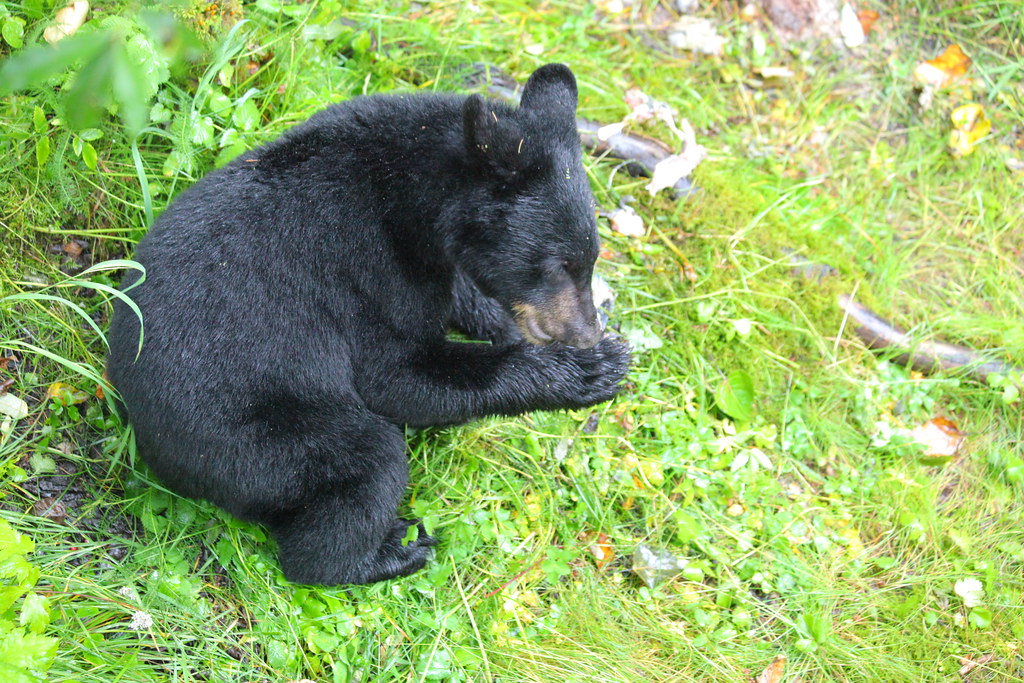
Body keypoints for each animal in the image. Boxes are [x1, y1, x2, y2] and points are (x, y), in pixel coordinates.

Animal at [106, 63, 631, 585]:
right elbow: (399, 377)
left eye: (591, 257)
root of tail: (148, 443)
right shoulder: (367, 267)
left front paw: (494, 316)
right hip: (254, 438)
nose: (586, 331)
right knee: (366, 462)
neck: (413, 193)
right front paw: (591, 371)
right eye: (560, 265)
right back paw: (389, 551)